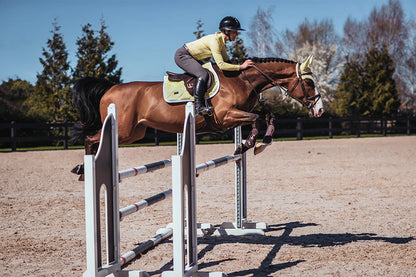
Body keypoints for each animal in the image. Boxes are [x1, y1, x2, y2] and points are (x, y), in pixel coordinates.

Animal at [72, 54, 324, 177]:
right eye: (309, 83)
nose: (320, 110)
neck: (241, 80)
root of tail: (109, 89)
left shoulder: (242, 112)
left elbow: (268, 116)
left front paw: (262, 143)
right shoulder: (225, 117)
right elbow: (256, 120)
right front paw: (248, 144)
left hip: (135, 133)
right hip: (123, 130)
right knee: (91, 138)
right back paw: (83, 169)